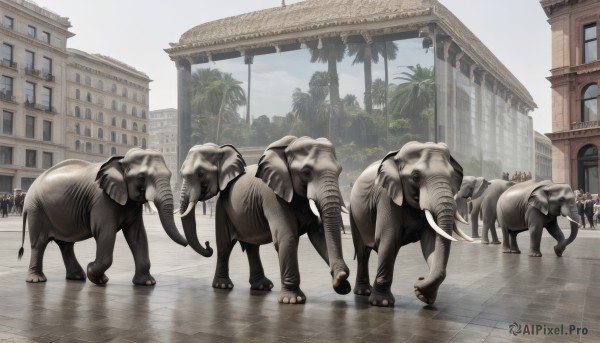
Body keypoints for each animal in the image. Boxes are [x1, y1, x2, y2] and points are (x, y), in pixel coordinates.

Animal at [18, 149, 195, 286]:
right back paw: (37, 280)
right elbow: (105, 232)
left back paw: (77, 277)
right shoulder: (101, 199)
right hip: (36, 209)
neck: (121, 161)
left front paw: (147, 283)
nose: (187, 243)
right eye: (141, 177)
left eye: (170, 175)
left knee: (66, 244)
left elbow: (137, 235)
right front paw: (94, 274)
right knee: (39, 243)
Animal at [178, 136, 352, 304]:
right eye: (306, 171)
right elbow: (287, 236)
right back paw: (223, 285)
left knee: (251, 247)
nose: (207, 244)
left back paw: (262, 286)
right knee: (225, 245)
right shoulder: (271, 196)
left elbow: (318, 233)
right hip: (223, 208)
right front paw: (293, 300)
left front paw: (341, 283)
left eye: (340, 171)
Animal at [346, 141, 474, 308]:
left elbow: (430, 243)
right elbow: (389, 239)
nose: (419, 278)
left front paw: (424, 296)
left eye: (453, 176)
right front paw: (383, 303)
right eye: (415, 177)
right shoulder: (386, 196)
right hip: (354, 214)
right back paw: (363, 292)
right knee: (362, 252)